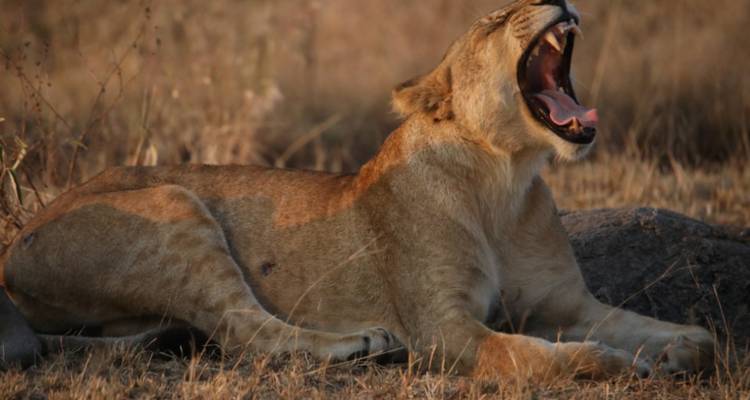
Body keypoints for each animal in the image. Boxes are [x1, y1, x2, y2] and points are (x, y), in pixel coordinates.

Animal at [0, 0, 714, 380]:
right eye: (495, 17)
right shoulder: (443, 329)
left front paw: (685, 345)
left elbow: (641, 324)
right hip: (175, 209)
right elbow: (538, 353)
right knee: (242, 329)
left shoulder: (566, 302)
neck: (504, 181)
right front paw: (621, 364)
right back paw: (361, 344)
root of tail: (17, 242)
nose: (559, 2)